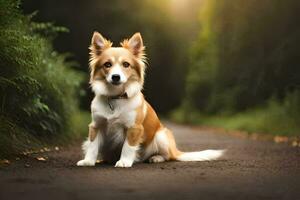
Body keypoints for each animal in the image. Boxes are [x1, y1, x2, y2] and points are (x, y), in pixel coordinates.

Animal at [76, 32, 224, 167]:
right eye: (107, 64)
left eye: (126, 64)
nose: (115, 77)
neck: (115, 97)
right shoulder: (96, 125)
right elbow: (93, 146)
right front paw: (88, 161)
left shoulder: (134, 128)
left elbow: (128, 147)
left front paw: (124, 162)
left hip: (161, 136)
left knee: (168, 156)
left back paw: (155, 158)